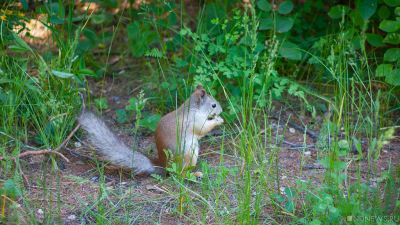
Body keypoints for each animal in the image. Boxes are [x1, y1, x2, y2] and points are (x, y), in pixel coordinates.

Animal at [77, 85, 222, 175]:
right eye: (213, 105)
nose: (221, 110)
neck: (193, 109)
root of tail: (164, 166)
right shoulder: (194, 121)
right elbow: (202, 129)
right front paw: (218, 120)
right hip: (188, 155)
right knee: (181, 174)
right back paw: (195, 173)